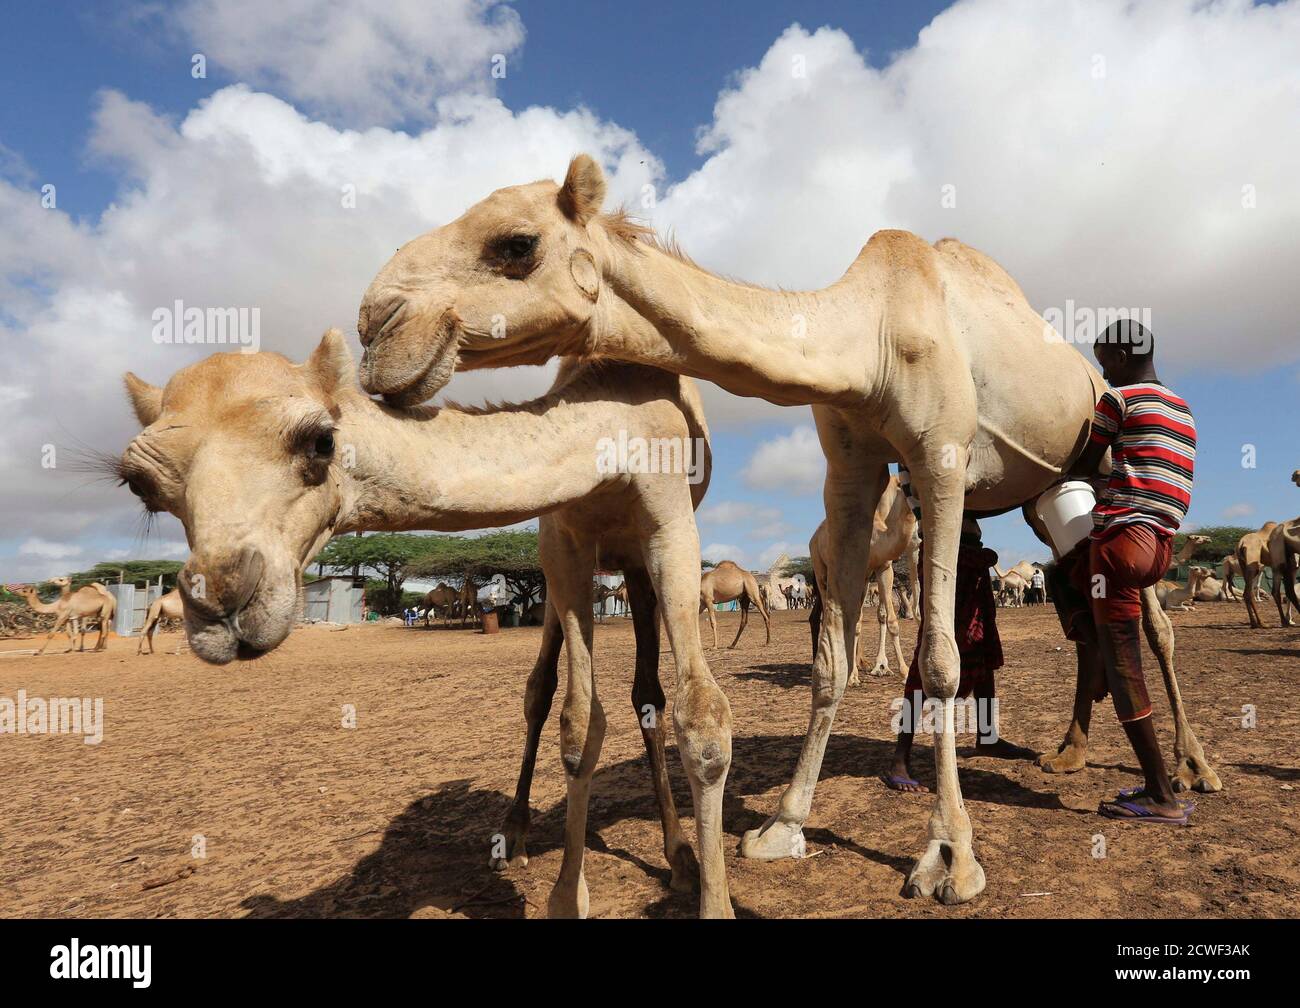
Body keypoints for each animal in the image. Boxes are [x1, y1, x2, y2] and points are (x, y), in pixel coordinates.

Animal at [118, 331, 732, 918]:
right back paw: (516, 832)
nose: (222, 600)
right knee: (547, 690)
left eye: (320, 440)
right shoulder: (563, 538)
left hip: (635, 568)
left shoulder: (669, 522)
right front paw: (564, 898)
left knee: (648, 693)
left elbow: (702, 718)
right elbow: (579, 723)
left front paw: (712, 898)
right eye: (140, 485)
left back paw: (679, 854)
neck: (616, 420)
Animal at [807, 474, 917, 683]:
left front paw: (905, 671)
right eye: (903, 485)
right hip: (820, 568)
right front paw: (852, 676)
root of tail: (814, 536)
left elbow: (891, 621)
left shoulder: (883, 568)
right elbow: (854, 621)